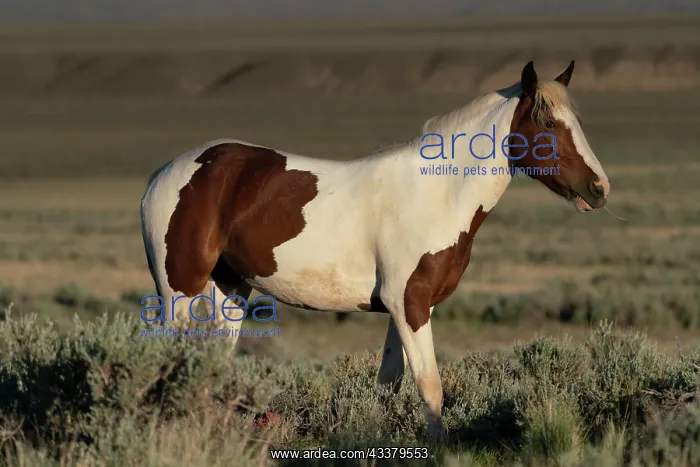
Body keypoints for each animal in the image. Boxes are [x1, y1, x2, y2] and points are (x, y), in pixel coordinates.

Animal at [140, 60, 610, 439]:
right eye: (547, 125)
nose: (599, 188)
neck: (438, 193)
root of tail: (164, 173)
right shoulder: (409, 304)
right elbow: (430, 386)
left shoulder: (408, 308)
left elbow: (390, 383)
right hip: (179, 292)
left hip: (231, 291)